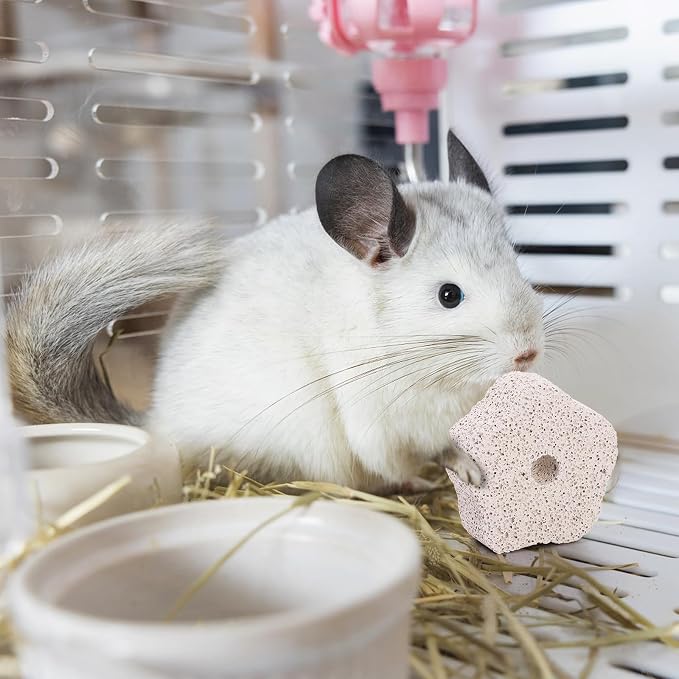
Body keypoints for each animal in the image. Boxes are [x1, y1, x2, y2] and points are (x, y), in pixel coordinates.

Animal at [6, 131, 544, 492]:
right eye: (449, 295)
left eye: (519, 265)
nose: (528, 353)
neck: (444, 376)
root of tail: (160, 424)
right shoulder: (375, 425)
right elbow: (398, 466)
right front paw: (429, 483)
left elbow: (452, 447)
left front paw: (472, 469)